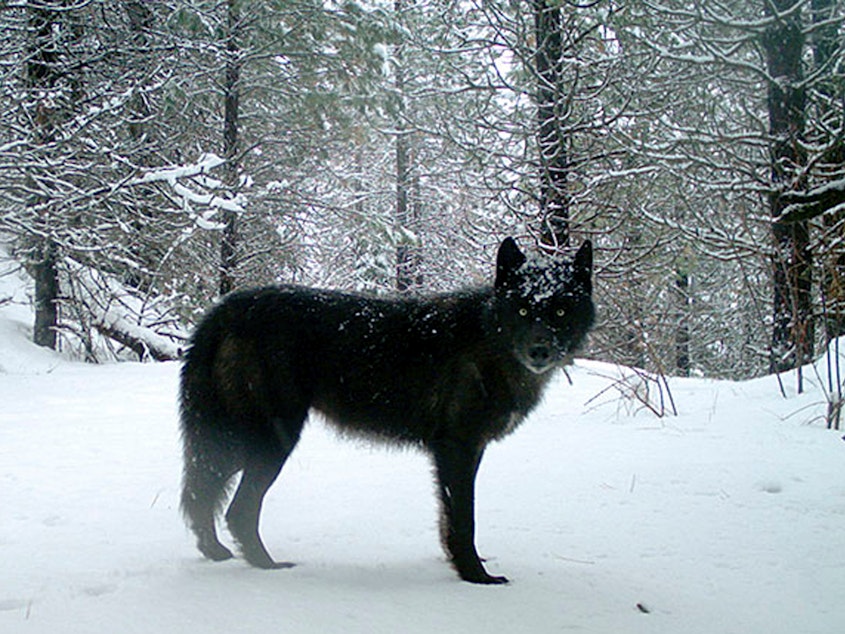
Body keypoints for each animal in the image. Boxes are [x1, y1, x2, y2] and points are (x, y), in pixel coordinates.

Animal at [181, 237, 592, 584]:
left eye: (559, 309)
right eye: (522, 308)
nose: (539, 350)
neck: (490, 340)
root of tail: (226, 308)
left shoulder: (466, 451)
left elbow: (448, 519)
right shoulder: (456, 449)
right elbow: (464, 519)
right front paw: (475, 576)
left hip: (237, 442)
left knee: (202, 492)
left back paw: (216, 552)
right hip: (270, 442)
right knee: (236, 508)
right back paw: (267, 566)